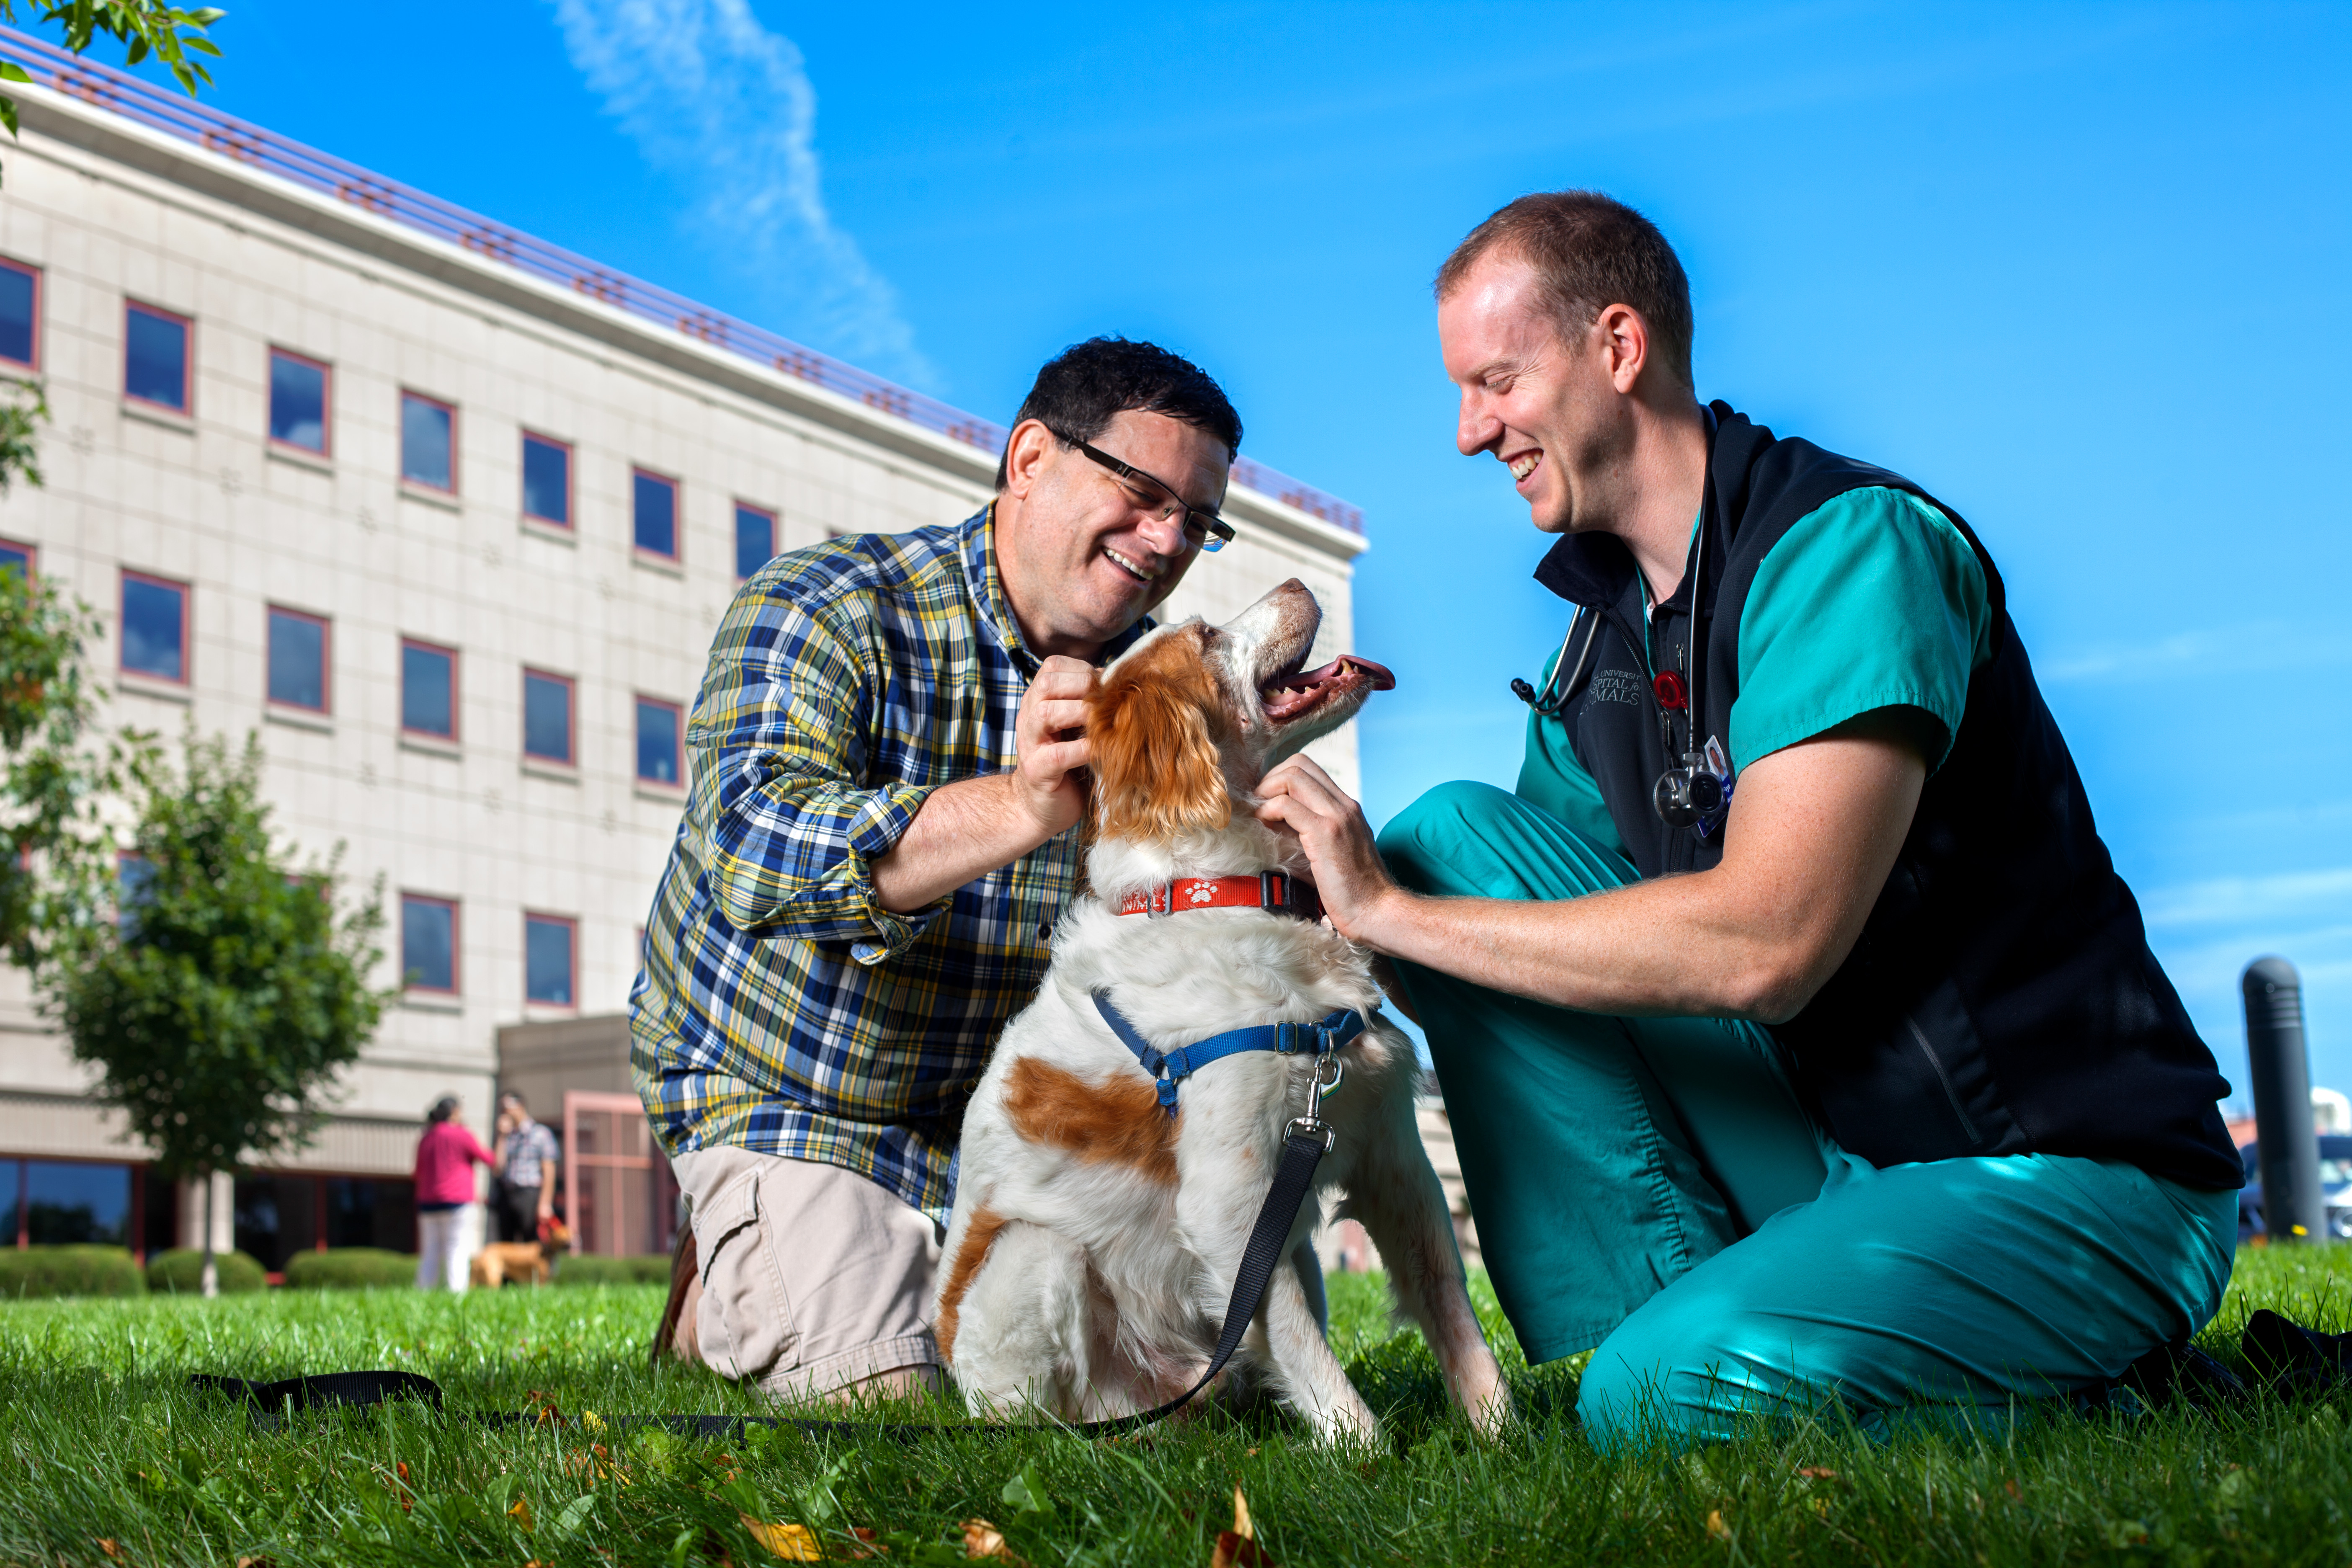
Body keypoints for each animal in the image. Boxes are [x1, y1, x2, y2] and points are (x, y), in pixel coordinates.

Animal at [936, 580, 1505, 1448]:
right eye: (1204, 634)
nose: (1300, 584)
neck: (1232, 889)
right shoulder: (1229, 1206)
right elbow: (1321, 1371)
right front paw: (1372, 1463)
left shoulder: (1394, 1159)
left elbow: (1451, 1304)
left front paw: (1502, 1436)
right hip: (1034, 1256)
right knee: (1052, 1424)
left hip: (1297, 1256)